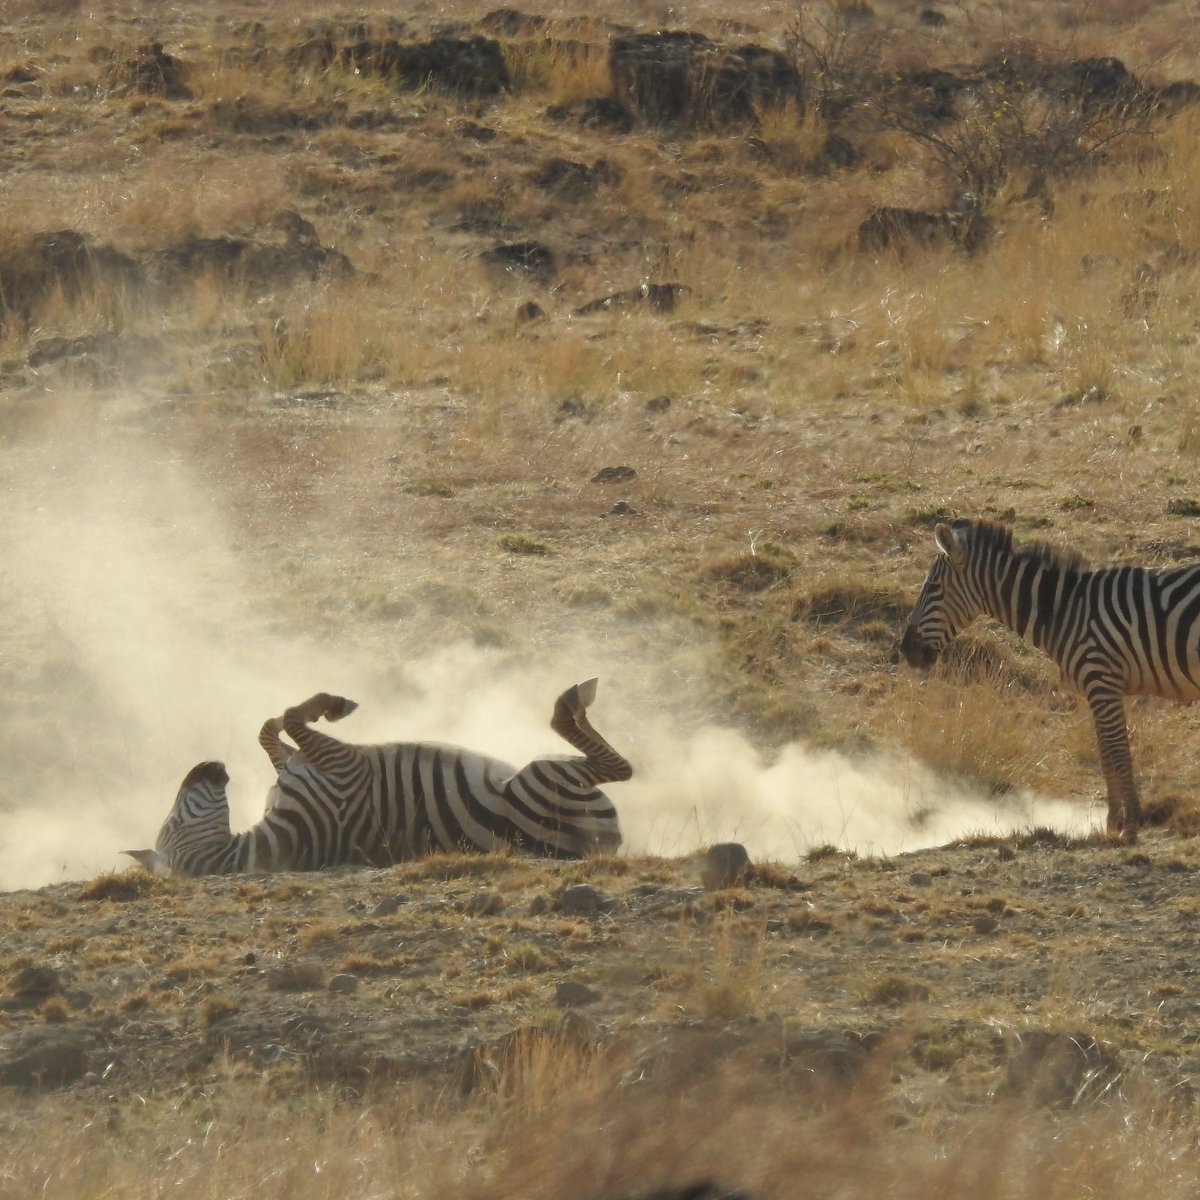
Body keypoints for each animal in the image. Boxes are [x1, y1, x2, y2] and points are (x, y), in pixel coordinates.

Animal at [126, 681, 633, 878]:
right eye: (173, 824)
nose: (210, 766)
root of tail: (603, 843)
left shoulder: (300, 766)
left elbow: (271, 729)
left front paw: (318, 707)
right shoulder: (342, 766)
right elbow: (289, 718)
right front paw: (333, 705)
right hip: (542, 777)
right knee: (617, 767)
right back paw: (573, 699)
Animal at [902, 516, 1200, 844]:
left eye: (932, 588)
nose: (906, 651)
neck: (1064, 612)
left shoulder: (1102, 681)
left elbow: (1118, 753)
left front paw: (1131, 827)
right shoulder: (1098, 689)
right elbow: (1105, 753)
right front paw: (1112, 824)